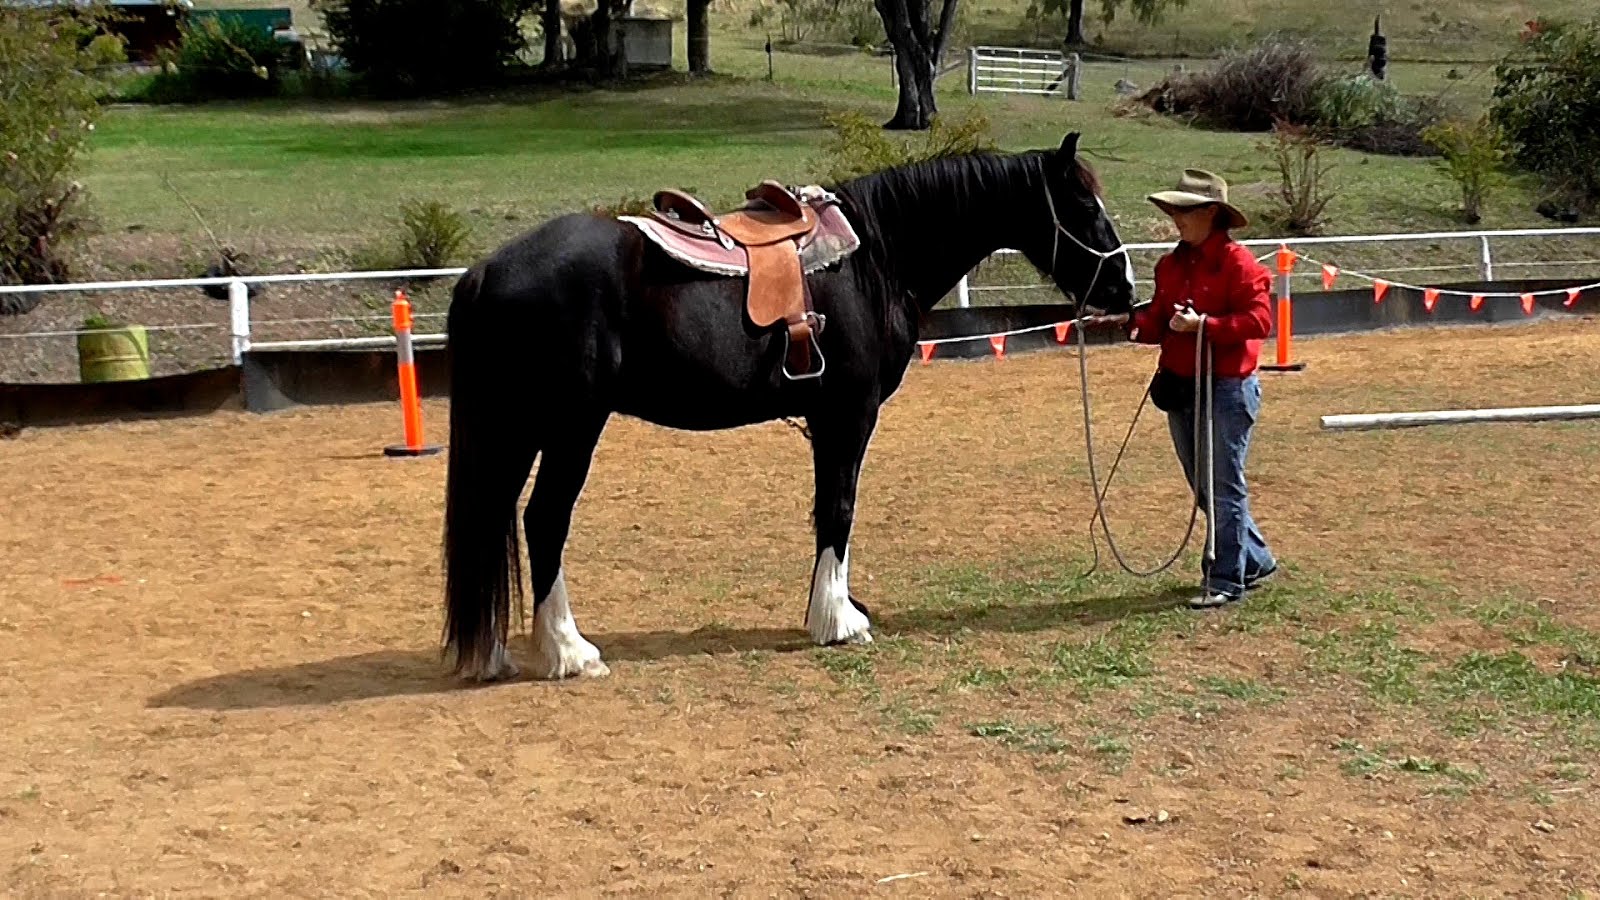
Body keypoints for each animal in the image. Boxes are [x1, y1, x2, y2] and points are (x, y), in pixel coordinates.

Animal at [440, 132, 1136, 682]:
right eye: (1083, 206)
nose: (1125, 286)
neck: (877, 254)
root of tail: (486, 271)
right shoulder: (850, 414)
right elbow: (839, 508)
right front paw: (838, 619)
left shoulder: (829, 419)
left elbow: (828, 507)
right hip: (570, 426)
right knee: (543, 520)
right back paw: (569, 650)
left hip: (518, 428)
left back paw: (495, 651)